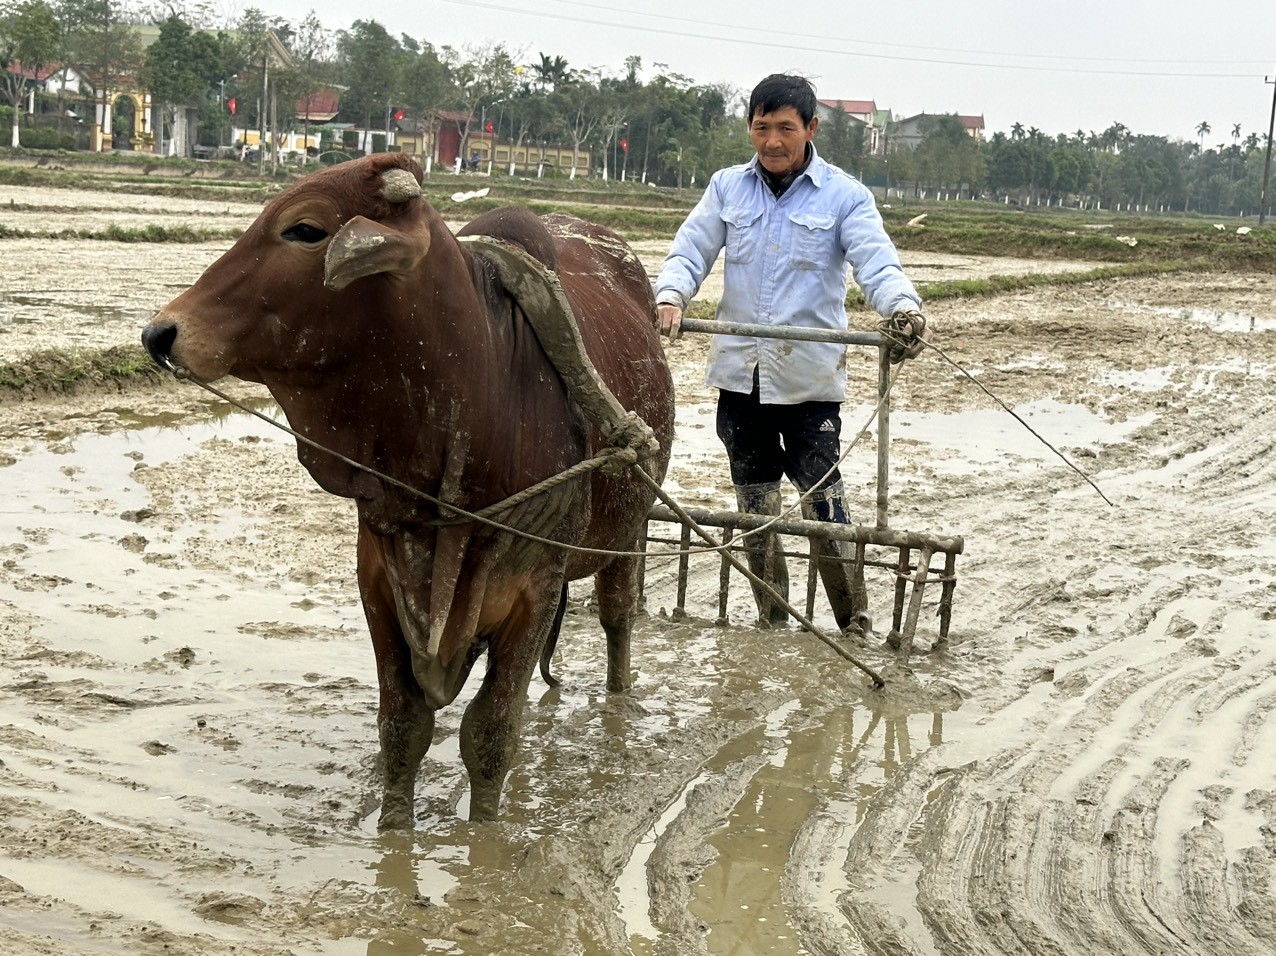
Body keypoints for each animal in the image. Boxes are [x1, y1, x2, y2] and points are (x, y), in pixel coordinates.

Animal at [139, 153, 678, 821]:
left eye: (304, 230)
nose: (160, 334)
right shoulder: (378, 577)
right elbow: (402, 726)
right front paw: (393, 827)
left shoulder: (537, 587)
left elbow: (491, 734)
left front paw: (483, 839)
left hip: (630, 528)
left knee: (618, 618)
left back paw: (620, 703)